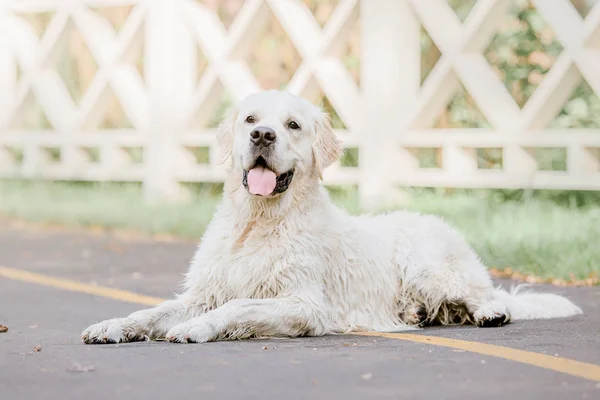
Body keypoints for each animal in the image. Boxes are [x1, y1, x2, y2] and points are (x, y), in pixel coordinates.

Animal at [82, 90, 584, 344]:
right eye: (250, 120)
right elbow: (154, 310)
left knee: (487, 296)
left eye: (292, 125)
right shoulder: (203, 291)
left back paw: (490, 314)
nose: (263, 136)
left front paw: (195, 329)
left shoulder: (305, 304)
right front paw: (112, 326)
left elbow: (238, 306)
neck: (259, 222)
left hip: (427, 263)